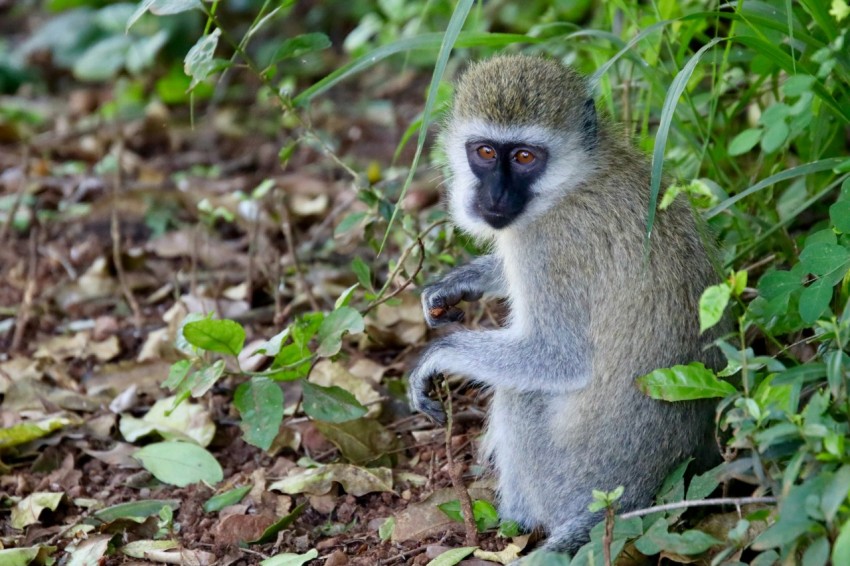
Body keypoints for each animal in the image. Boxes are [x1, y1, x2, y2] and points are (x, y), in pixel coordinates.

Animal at [406, 56, 724, 556]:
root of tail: (636, 493)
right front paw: (459, 283)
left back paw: (517, 522)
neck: (574, 181)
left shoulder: (551, 247)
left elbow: (560, 357)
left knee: (521, 391)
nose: (494, 197)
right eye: (484, 152)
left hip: (570, 479)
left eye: (524, 157)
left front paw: (438, 356)